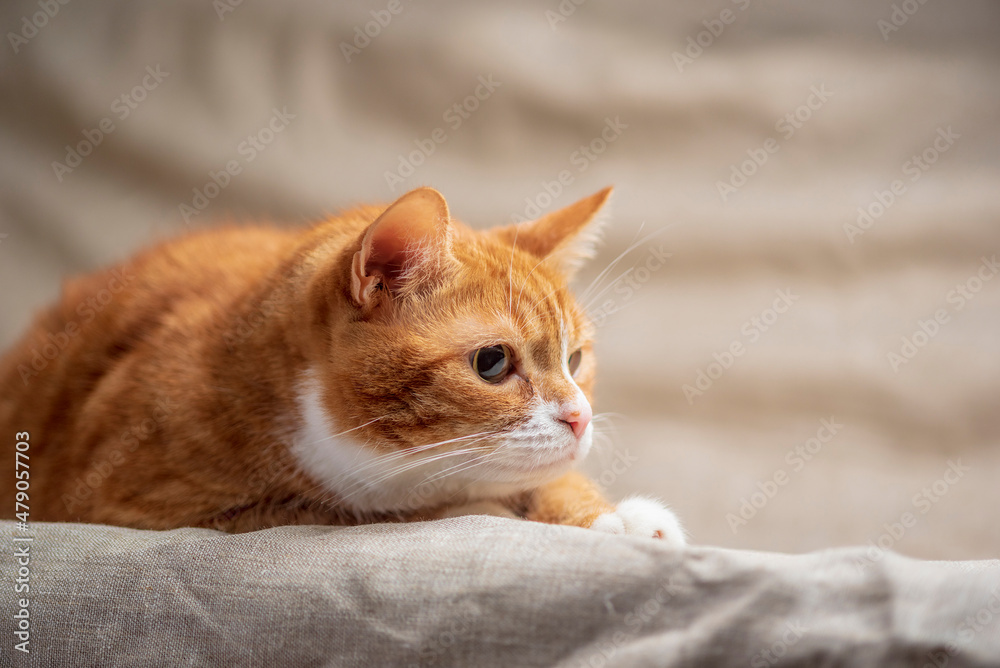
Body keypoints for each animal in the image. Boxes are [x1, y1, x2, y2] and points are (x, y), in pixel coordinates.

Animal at [0, 185, 688, 544]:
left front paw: (611, 516)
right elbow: (419, 510)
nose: (580, 417)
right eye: (493, 363)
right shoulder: (143, 506)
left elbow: (551, 480)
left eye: (575, 358)